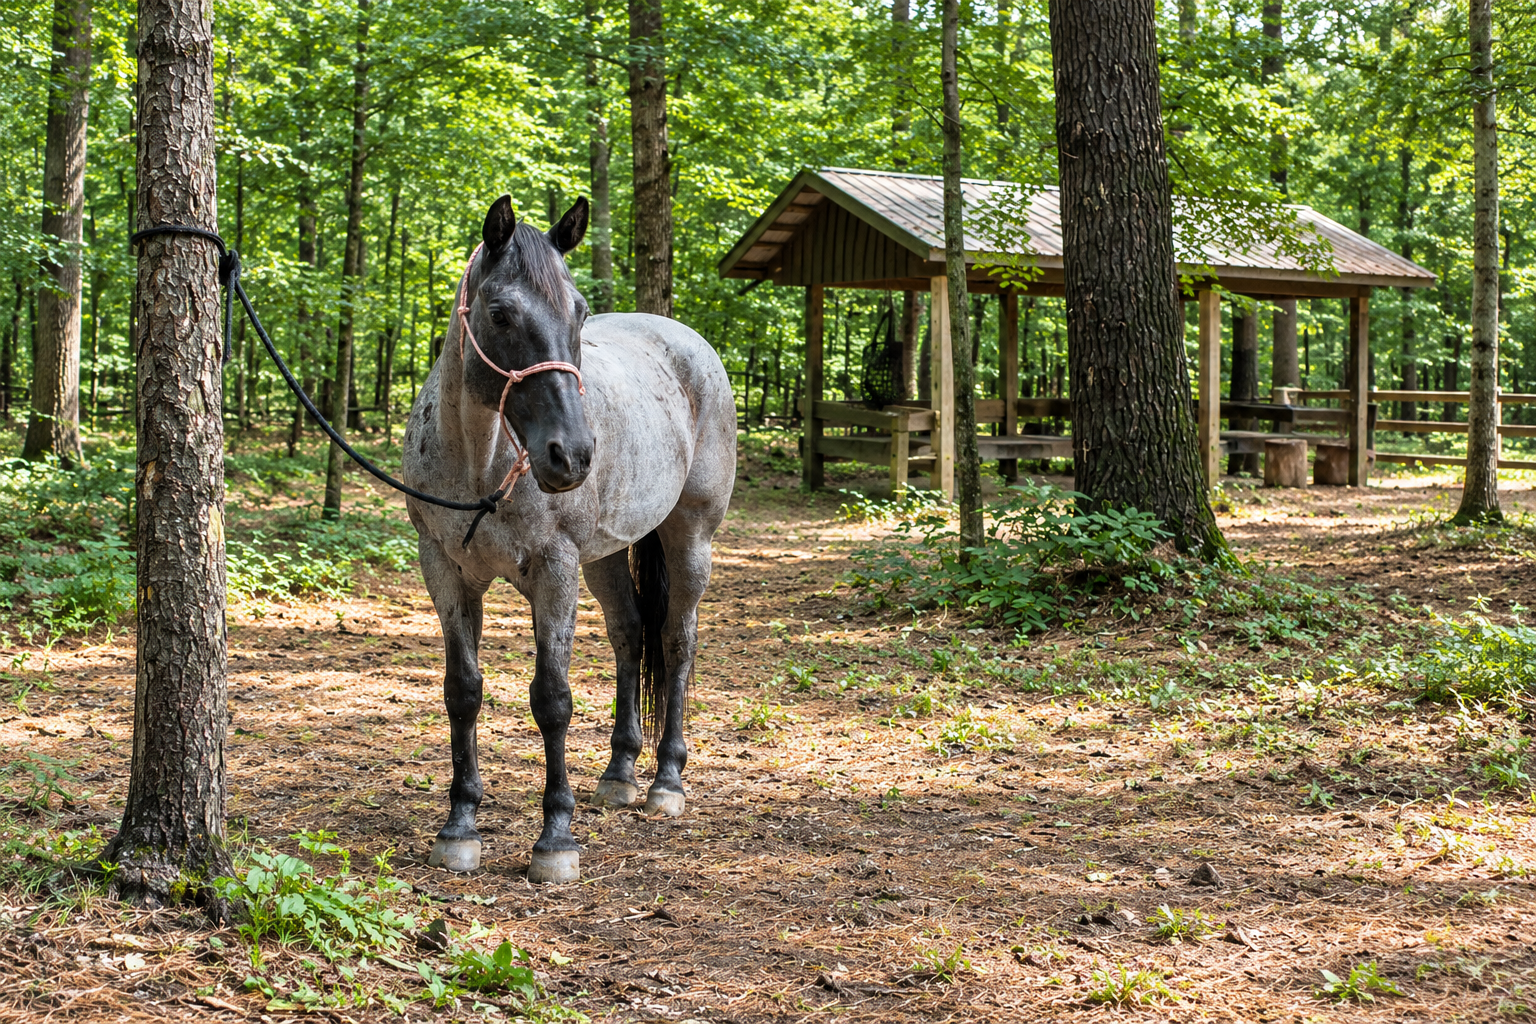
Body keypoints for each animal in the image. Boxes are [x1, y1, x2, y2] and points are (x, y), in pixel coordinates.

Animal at [400, 194, 736, 883]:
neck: (483, 463)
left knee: (676, 642)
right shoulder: (444, 571)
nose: (574, 455)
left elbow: (552, 698)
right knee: (630, 635)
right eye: (500, 313)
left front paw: (555, 838)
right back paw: (620, 773)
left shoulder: (554, 570)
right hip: (604, 558)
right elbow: (462, 692)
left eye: (579, 313)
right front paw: (459, 827)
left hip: (690, 538)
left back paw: (666, 782)